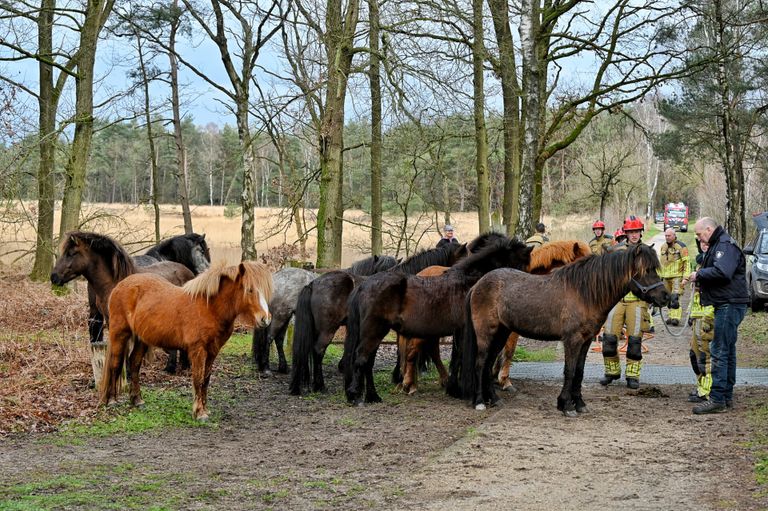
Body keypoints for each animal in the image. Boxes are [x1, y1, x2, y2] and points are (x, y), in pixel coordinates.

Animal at [100, 262, 272, 422]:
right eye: (250, 290)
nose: (265, 319)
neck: (209, 307)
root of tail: (121, 285)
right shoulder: (198, 350)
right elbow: (198, 379)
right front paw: (199, 413)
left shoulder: (213, 351)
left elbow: (206, 380)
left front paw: (204, 409)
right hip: (119, 334)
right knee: (115, 364)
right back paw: (111, 400)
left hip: (142, 339)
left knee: (134, 364)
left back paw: (137, 400)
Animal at [344, 237, 536, 408]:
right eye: (521, 265)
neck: (469, 283)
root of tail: (363, 285)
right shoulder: (465, 330)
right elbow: (462, 356)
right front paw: (461, 390)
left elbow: (458, 357)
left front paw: (454, 389)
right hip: (374, 331)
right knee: (362, 359)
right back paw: (358, 397)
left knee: (368, 362)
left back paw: (373, 396)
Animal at [392, 241, 592, 396]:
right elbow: (508, 351)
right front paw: (504, 381)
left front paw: (494, 377)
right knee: (412, 351)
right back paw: (409, 384)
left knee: (428, 350)